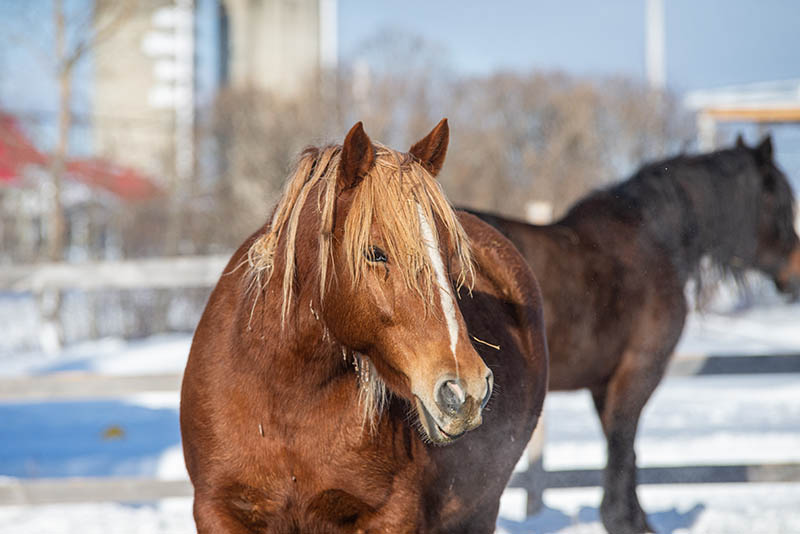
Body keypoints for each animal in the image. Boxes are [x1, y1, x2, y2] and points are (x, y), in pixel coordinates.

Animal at [180, 121, 552, 534]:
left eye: (450, 257)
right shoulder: (217, 512)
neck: (285, 400)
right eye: (375, 253)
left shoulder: (392, 515)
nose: (465, 390)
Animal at [468, 137, 800, 534]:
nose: (796, 272)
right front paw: (623, 520)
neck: (655, 239)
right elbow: (623, 446)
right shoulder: (640, 371)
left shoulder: (603, 384)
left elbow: (625, 452)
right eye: (778, 201)